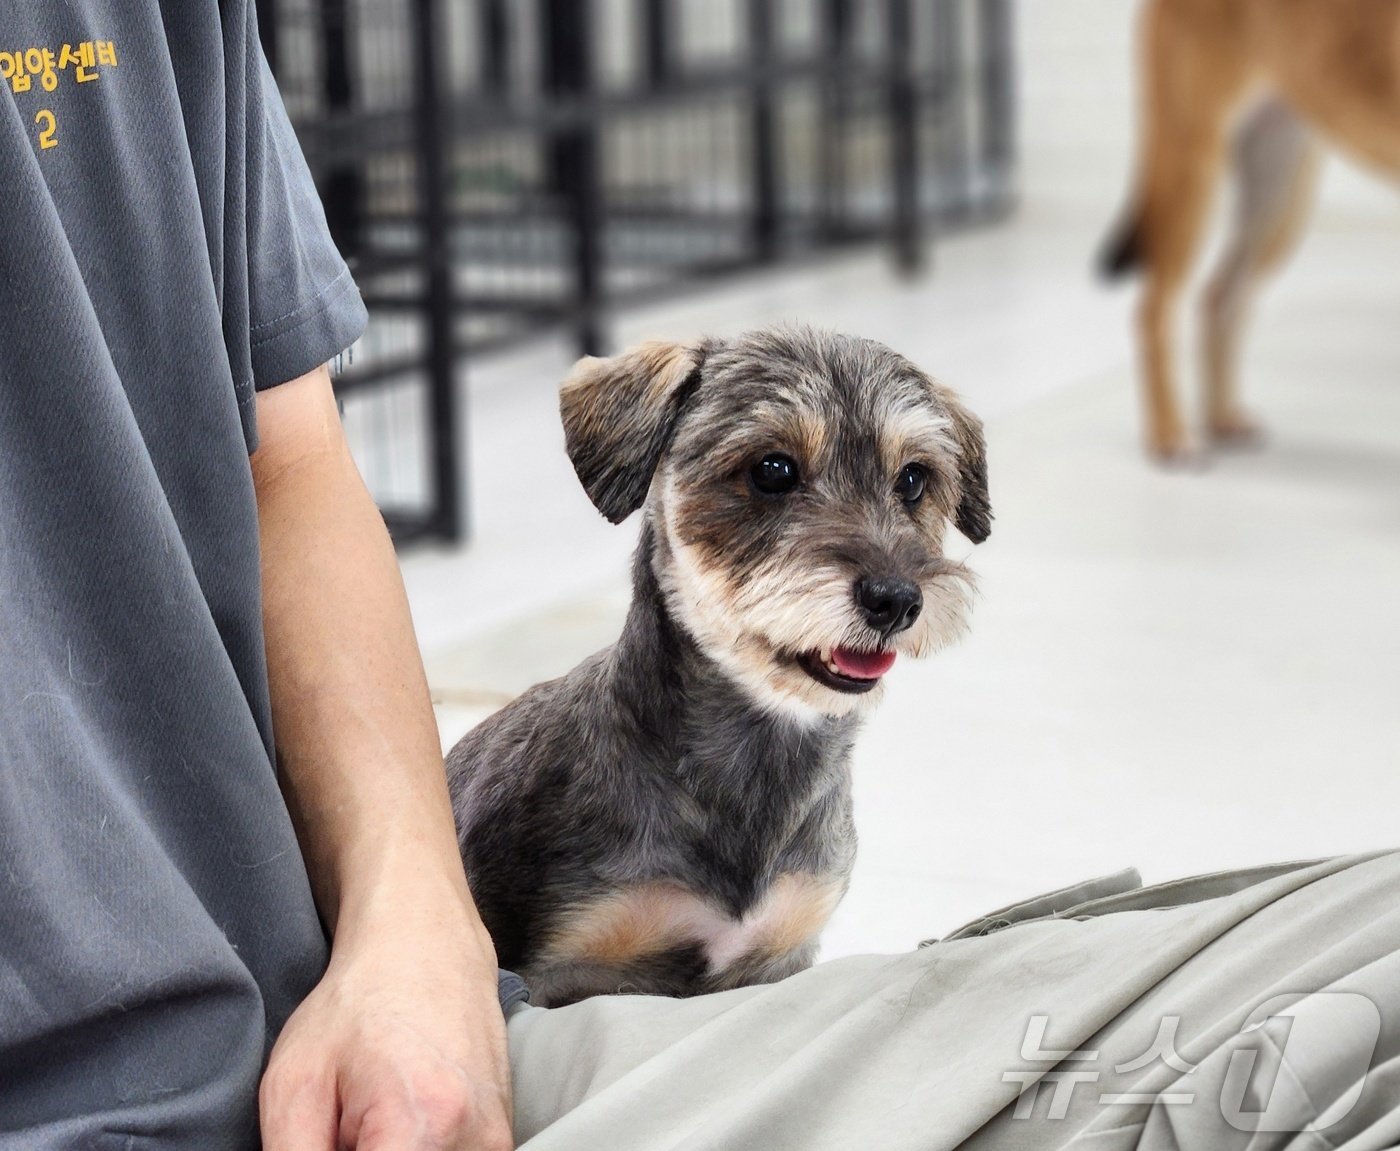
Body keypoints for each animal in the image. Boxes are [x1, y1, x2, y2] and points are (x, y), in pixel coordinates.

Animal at [1097, 0, 1394, 459]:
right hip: (1193, 166)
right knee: (1154, 309)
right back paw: (1169, 436)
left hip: (1279, 190)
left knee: (1220, 296)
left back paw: (1221, 419)